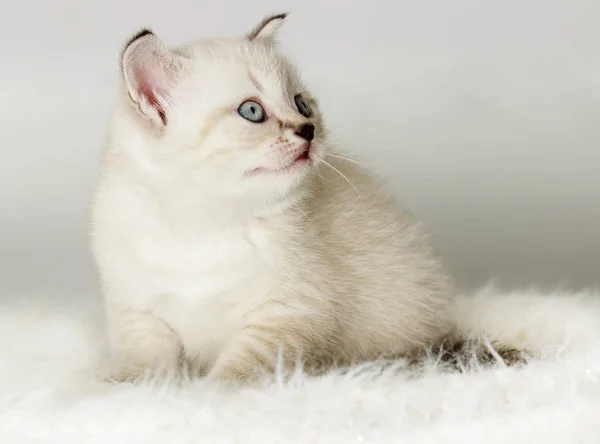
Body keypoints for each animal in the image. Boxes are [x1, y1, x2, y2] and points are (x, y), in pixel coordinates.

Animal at [91, 13, 524, 386]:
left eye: (301, 104)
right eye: (252, 111)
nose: (308, 130)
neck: (203, 222)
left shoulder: (287, 314)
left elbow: (238, 372)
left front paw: (208, 396)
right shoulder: (140, 315)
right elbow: (145, 367)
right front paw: (126, 390)